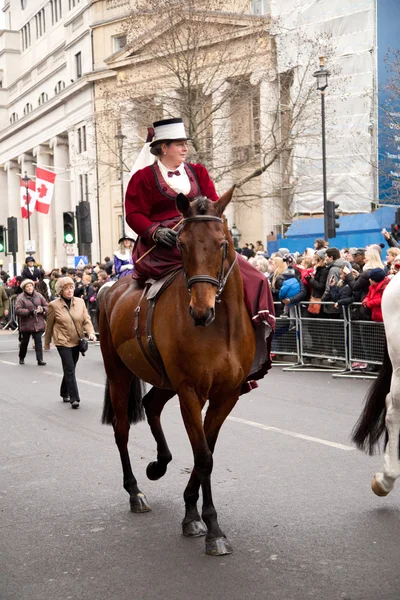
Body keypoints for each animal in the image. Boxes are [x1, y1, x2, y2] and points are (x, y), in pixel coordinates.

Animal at [99, 189, 258, 556]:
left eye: (222, 244)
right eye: (181, 245)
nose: (201, 310)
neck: (220, 328)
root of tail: (109, 287)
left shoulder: (226, 395)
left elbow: (205, 453)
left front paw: (191, 514)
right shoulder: (189, 391)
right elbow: (203, 458)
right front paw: (212, 528)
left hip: (164, 380)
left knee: (152, 406)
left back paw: (160, 463)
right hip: (119, 373)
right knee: (121, 429)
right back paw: (135, 492)